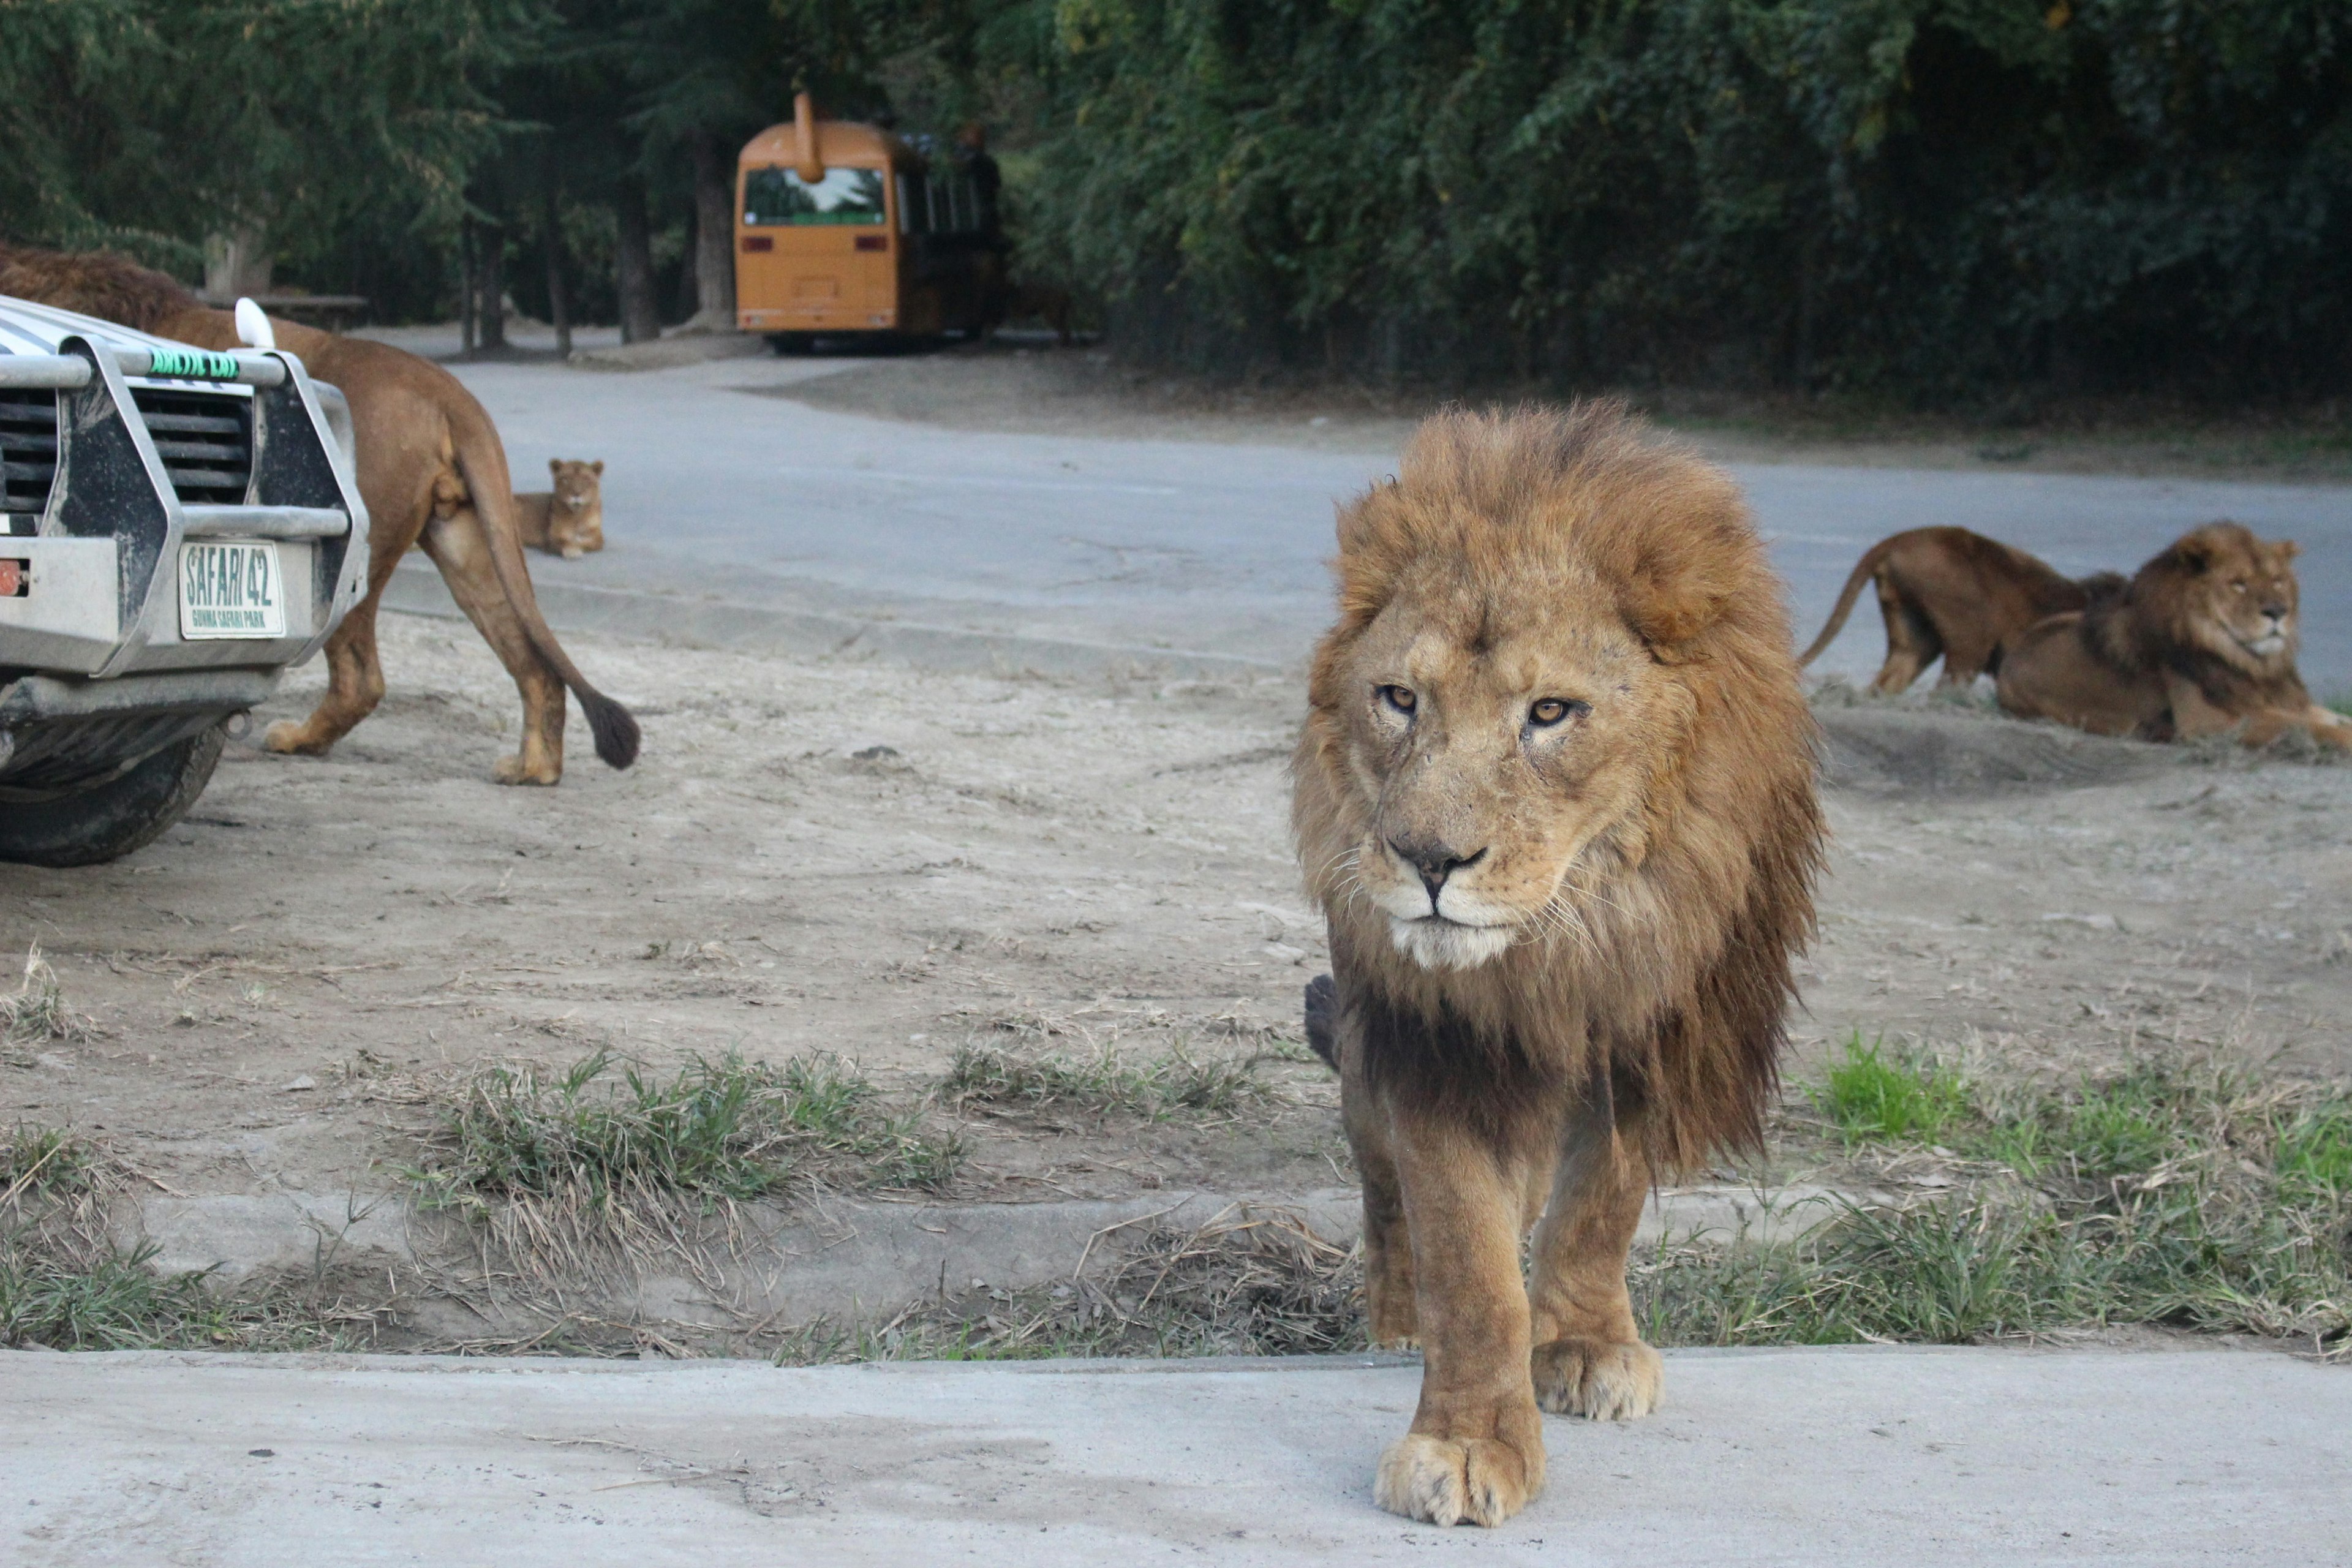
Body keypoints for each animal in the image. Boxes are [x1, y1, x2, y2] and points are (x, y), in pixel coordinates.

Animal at [517, 456, 606, 562]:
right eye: (566, 480)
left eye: (586, 479)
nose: (576, 494)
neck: (578, 515)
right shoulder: (552, 536)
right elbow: (565, 542)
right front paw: (572, 551)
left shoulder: (597, 536)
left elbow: (589, 543)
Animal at [1298, 409, 1825, 1532]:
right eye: (1399, 699)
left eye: (1550, 713)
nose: (1429, 860)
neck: (1571, 941)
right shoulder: (1443, 1047)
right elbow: (1469, 1262)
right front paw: (1465, 1443)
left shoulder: (1657, 1033)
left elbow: (1598, 1207)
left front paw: (1582, 1345)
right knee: (1383, 1185)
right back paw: (1395, 1317)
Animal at [1994, 522, 2342, 752]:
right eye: (2238, 584)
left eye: (2278, 580)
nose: (2278, 612)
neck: (2249, 661)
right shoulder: (2205, 723)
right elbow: (2309, 725)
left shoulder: (2282, 699)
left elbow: (2328, 718)